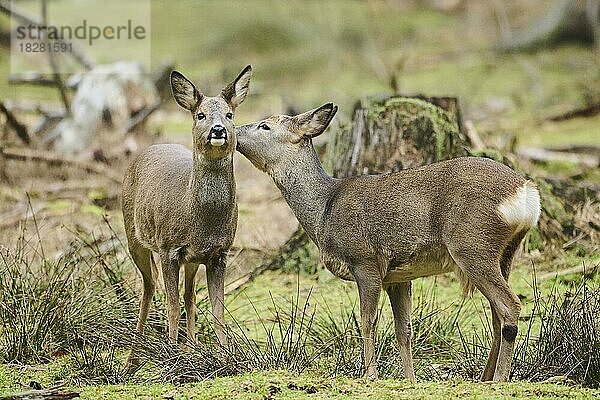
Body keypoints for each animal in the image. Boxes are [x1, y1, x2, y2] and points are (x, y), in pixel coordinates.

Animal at [122, 66, 253, 368]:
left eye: (230, 114)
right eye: (200, 115)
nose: (218, 130)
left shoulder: (219, 253)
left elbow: (217, 308)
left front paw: (225, 356)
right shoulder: (168, 248)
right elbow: (171, 306)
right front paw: (171, 355)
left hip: (193, 258)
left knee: (189, 295)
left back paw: (192, 347)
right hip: (135, 236)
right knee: (149, 286)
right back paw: (132, 360)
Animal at [237, 104, 540, 384]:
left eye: (265, 125)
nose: (232, 131)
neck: (324, 210)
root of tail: (526, 193)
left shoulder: (365, 261)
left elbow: (367, 321)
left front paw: (370, 375)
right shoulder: (398, 277)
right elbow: (404, 330)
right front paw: (410, 380)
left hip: (471, 245)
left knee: (509, 306)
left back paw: (500, 378)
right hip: (504, 252)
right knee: (497, 314)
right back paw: (485, 376)